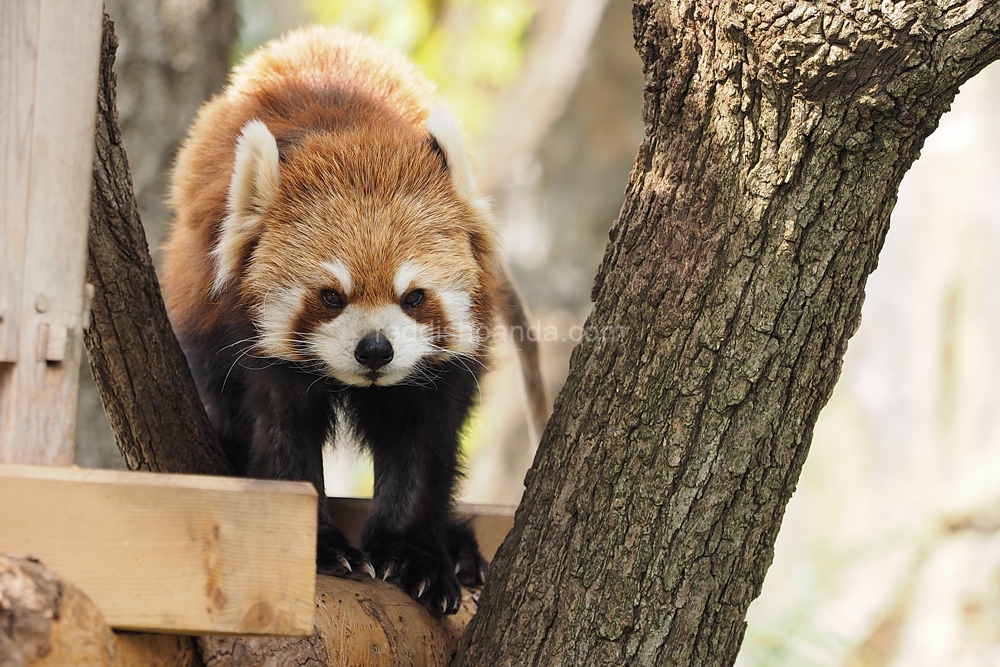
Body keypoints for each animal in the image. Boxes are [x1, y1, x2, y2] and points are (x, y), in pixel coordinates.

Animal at [160, 27, 548, 616]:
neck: (352, 130)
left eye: (414, 297)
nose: (375, 349)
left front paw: (416, 558)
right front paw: (322, 549)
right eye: (330, 296)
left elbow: (420, 446)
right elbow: (279, 436)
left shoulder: (438, 373)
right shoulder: (247, 347)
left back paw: (459, 550)